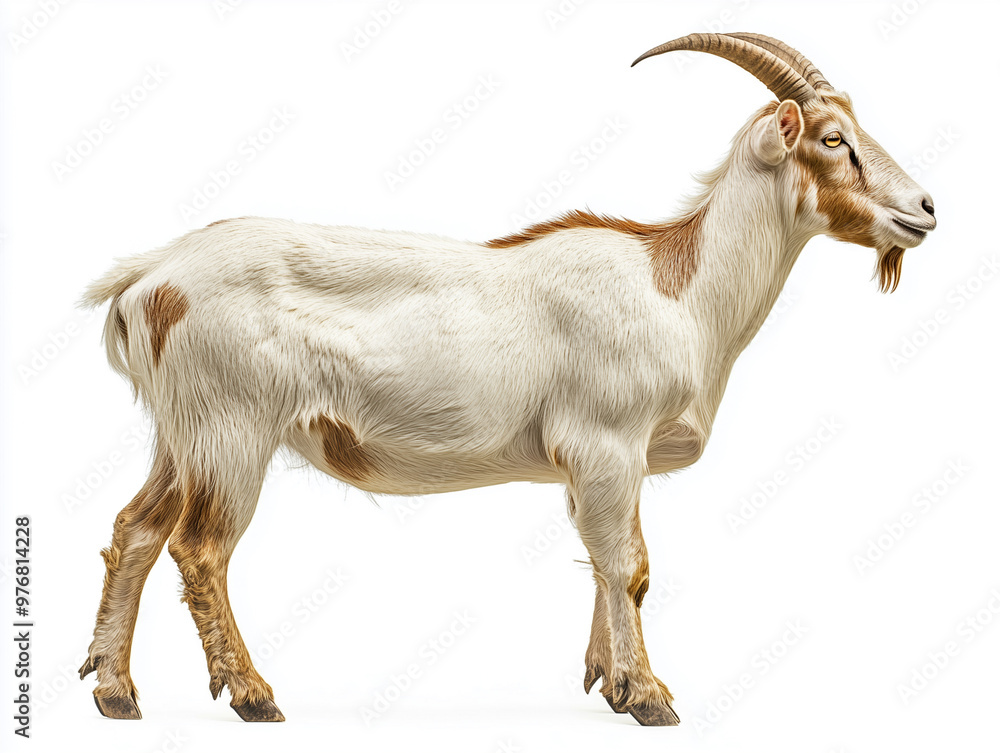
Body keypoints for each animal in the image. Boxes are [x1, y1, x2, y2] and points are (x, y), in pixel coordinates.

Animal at [79, 33, 935, 726]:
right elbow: (630, 566)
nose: (925, 208)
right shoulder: (606, 440)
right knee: (200, 546)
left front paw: (611, 682)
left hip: (181, 432)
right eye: (834, 138)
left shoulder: (605, 465)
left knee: (136, 528)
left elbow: (607, 558)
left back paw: (115, 691)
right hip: (232, 426)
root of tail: (148, 277)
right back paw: (253, 694)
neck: (678, 290)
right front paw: (651, 696)